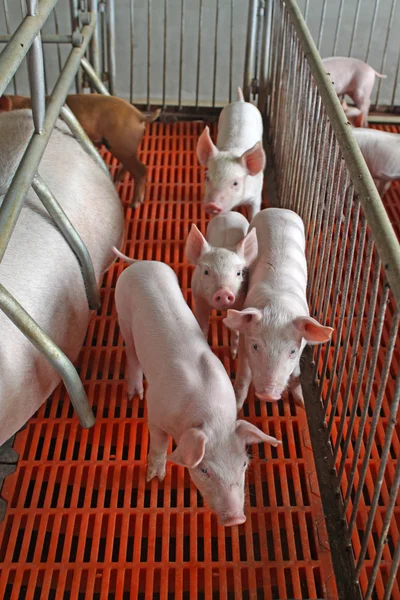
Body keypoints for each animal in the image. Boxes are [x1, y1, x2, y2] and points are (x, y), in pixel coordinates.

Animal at [114, 255, 280, 528]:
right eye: (205, 470)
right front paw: (155, 478)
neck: (210, 415)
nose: (236, 519)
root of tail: (141, 263)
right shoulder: (156, 411)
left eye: (244, 464)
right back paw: (133, 394)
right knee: (131, 352)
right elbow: (159, 443)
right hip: (123, 314)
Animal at [186, 213, 258, 358]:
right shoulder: (198, 298)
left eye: (238, 273)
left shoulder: (240, 302)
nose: (223, 292)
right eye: (206, 272)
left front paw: (234, 355)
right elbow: (202, 324)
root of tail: (229, 213)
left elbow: (236, 330)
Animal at [196, 86, 266, 220]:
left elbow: (255, 211)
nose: (212, 205)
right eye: (207, 177)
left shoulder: (256, 195)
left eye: (235, 183)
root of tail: (241, 102)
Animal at [223, 209, 332, 410]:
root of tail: (278, 210)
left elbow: (296, 374)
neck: (278, 308)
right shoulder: (245, 340)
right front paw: (237, 407)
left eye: (292, 351)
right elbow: (244, 376)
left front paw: (301, 402)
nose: (268, 395)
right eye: (256, 346)